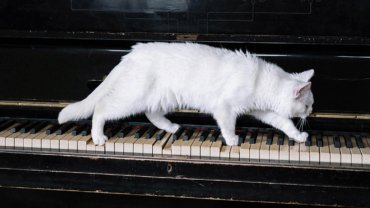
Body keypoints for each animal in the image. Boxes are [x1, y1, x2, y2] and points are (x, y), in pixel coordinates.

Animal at [57, 42, 312, 145]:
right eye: (308, 106)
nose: (310, 114)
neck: (261, 79)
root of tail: (131, 54)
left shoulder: (265, 112)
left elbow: (285, 123)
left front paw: (299, 137)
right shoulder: (224, 108)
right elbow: (228, 126)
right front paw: (232, 140)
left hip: (161, 98)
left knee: (151, 114)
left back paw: (171, 127)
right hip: (132, 97)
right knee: (101, 107)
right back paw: (98, 137)